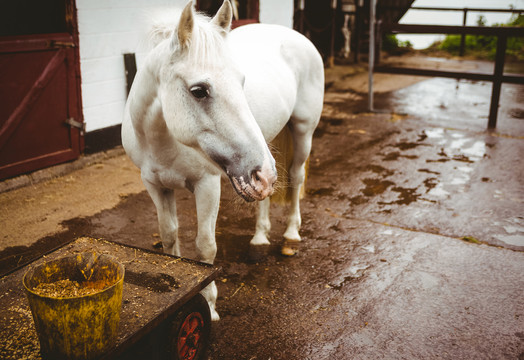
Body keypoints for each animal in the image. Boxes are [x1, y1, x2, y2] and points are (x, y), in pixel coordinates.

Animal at [122, 0, 324, 320]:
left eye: (242, 82)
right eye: (199, 90)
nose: (261, 173)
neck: (162, 140)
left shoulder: (207, 185)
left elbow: (205, 248)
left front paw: (209, 305)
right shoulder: (155, 185)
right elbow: (168, 236)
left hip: (301, 133)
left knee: (295, 177)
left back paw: (291, 234)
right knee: (266, 193)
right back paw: (259, 238)